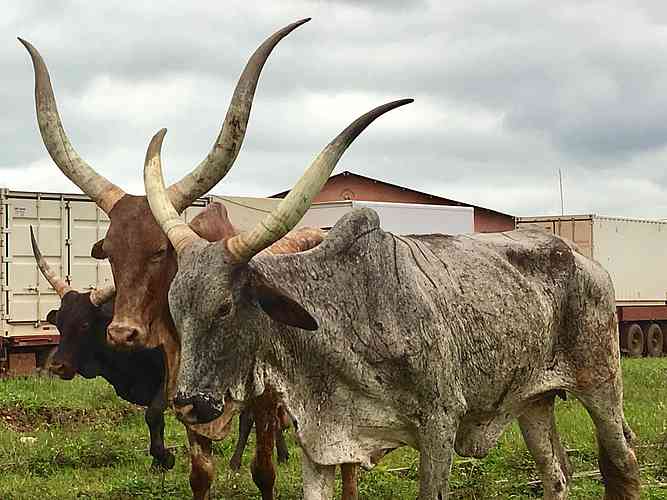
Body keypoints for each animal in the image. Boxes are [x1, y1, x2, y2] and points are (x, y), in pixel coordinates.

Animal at [29, 227, 175, 470]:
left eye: (85, 324)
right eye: (59, 323)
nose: (57, 366)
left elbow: (153, 415)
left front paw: (166, 458)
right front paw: (158, 462)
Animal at [141, 96, 641, 500]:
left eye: (225, 306)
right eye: (175, 309)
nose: (187, 403)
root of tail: (582, 258)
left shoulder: (440, 426)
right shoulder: (321, 444)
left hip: (603, 386)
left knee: (624, 467)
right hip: (533, 401)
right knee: (556, 475)